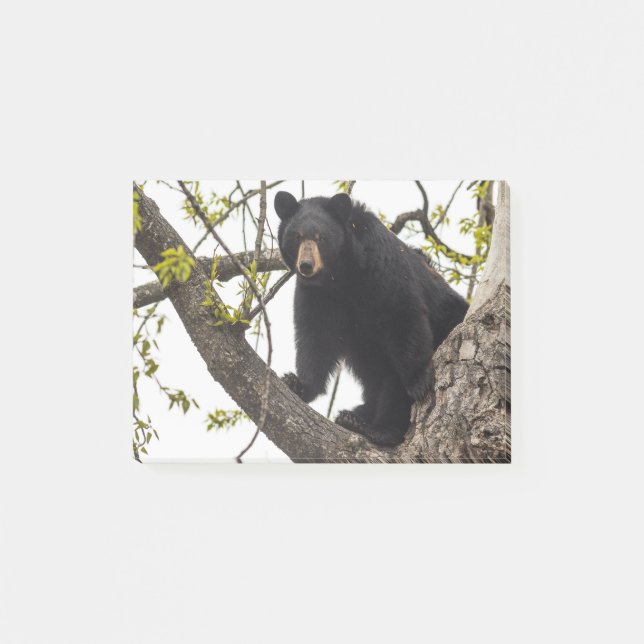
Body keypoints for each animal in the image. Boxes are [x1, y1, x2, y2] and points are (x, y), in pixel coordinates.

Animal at [275, 190, 468, 447]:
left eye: (321, 237)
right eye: (296, 237)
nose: (306, 265)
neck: (341, 276)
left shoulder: (382, 268)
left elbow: (402, 315)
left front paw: (418, 381)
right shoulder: (317, 295)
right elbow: (316, 336)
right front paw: (298, 383)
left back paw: (378, 428)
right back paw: (354, 417)